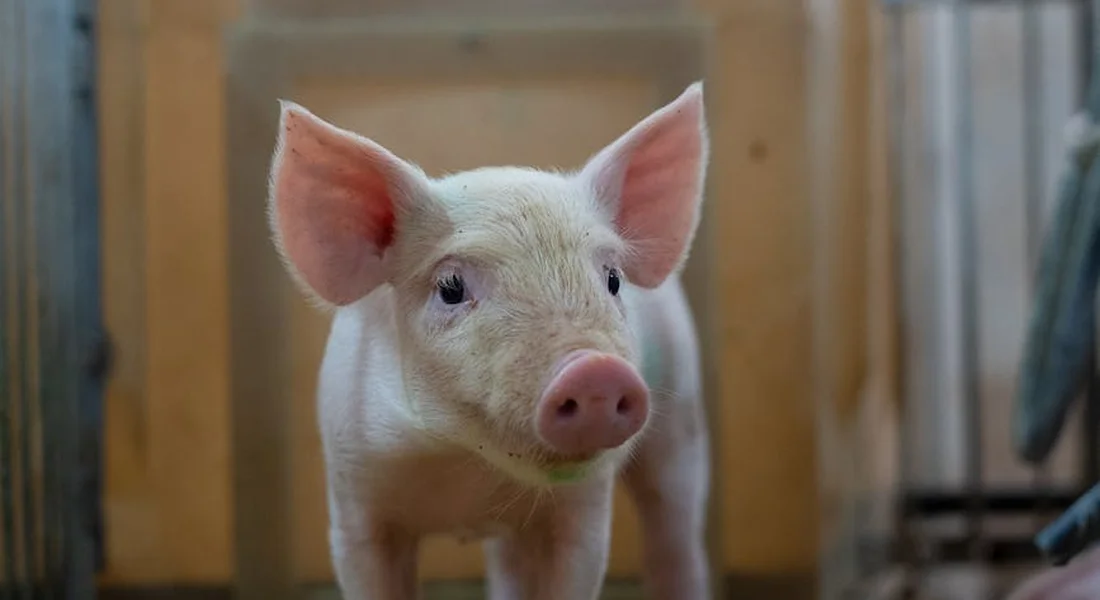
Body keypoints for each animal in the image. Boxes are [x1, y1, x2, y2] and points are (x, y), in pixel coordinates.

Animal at [266, 82, 711, 600]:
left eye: (613, 279)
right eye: (451, 287)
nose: (594, 370)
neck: (467, 469)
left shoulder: (584, 508)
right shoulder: (354, 502)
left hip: (683, 415)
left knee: (675, 529)